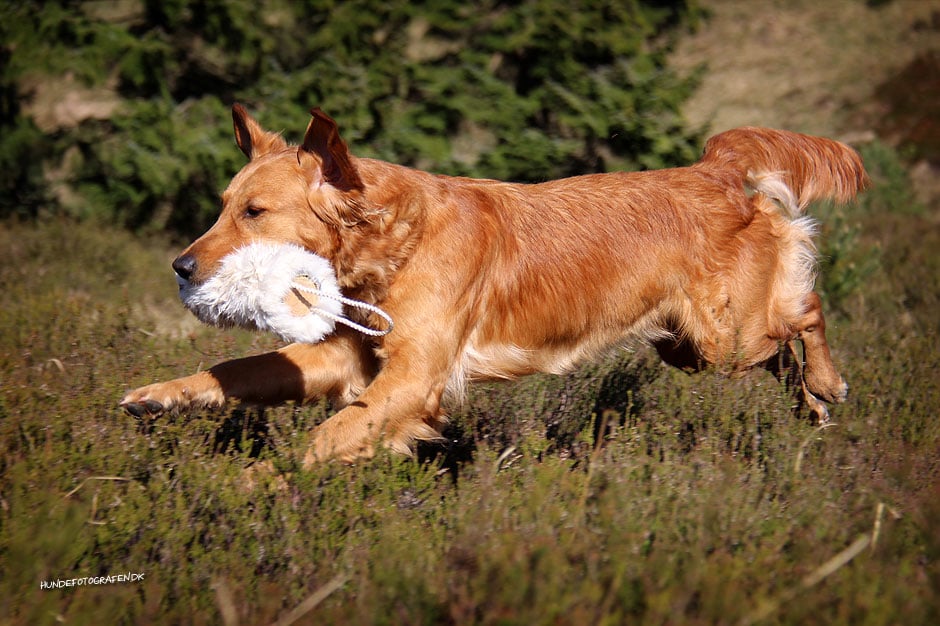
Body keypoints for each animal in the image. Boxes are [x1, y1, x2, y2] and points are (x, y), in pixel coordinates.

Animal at [121, 105, 872, 460]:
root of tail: (712, 168)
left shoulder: (413, 380)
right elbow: (239, 369)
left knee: (805, 309)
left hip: (725, 334)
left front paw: (257, 482)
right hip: (686, 346)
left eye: (254, 212)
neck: (396, 242)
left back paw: (828, 383)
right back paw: (811, 406)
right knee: (782, 353)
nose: (180, 267)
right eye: (223, 204)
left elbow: (327, 439)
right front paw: (158, 396)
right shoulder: (348, 359)